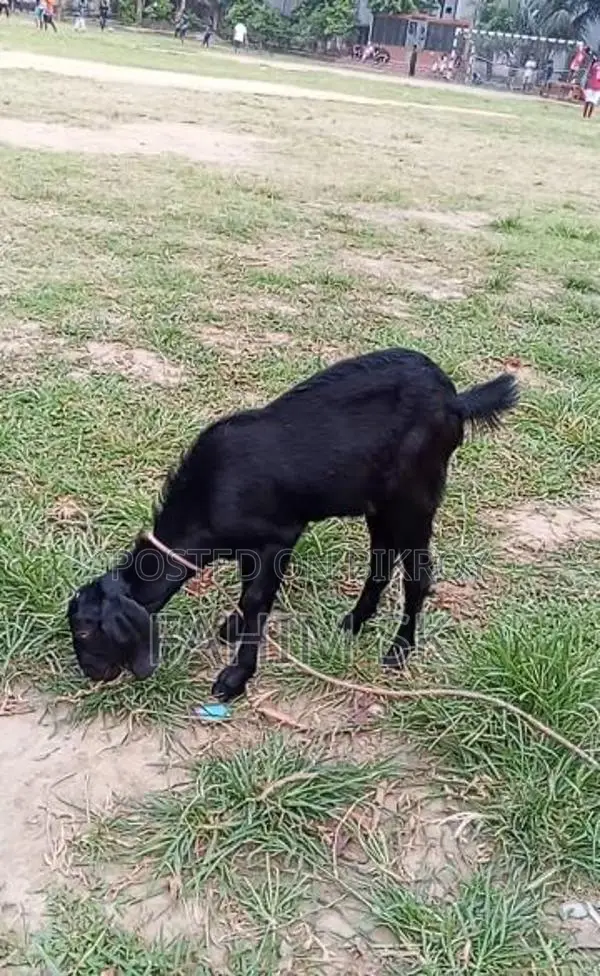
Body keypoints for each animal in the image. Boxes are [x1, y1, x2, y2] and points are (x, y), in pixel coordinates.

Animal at [68, 348, 518, 700]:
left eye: (87, 632)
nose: (91, 674)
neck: (207, 494)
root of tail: (456, 400)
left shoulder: (279, 537)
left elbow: (257, 600)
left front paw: (235, 677)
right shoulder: (248, 548)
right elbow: (247, 590)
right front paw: (233, 627)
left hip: (414, 498)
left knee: (417, 575)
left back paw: (399, 649)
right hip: (377, 503)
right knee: (381, 561)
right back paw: (356, 621)